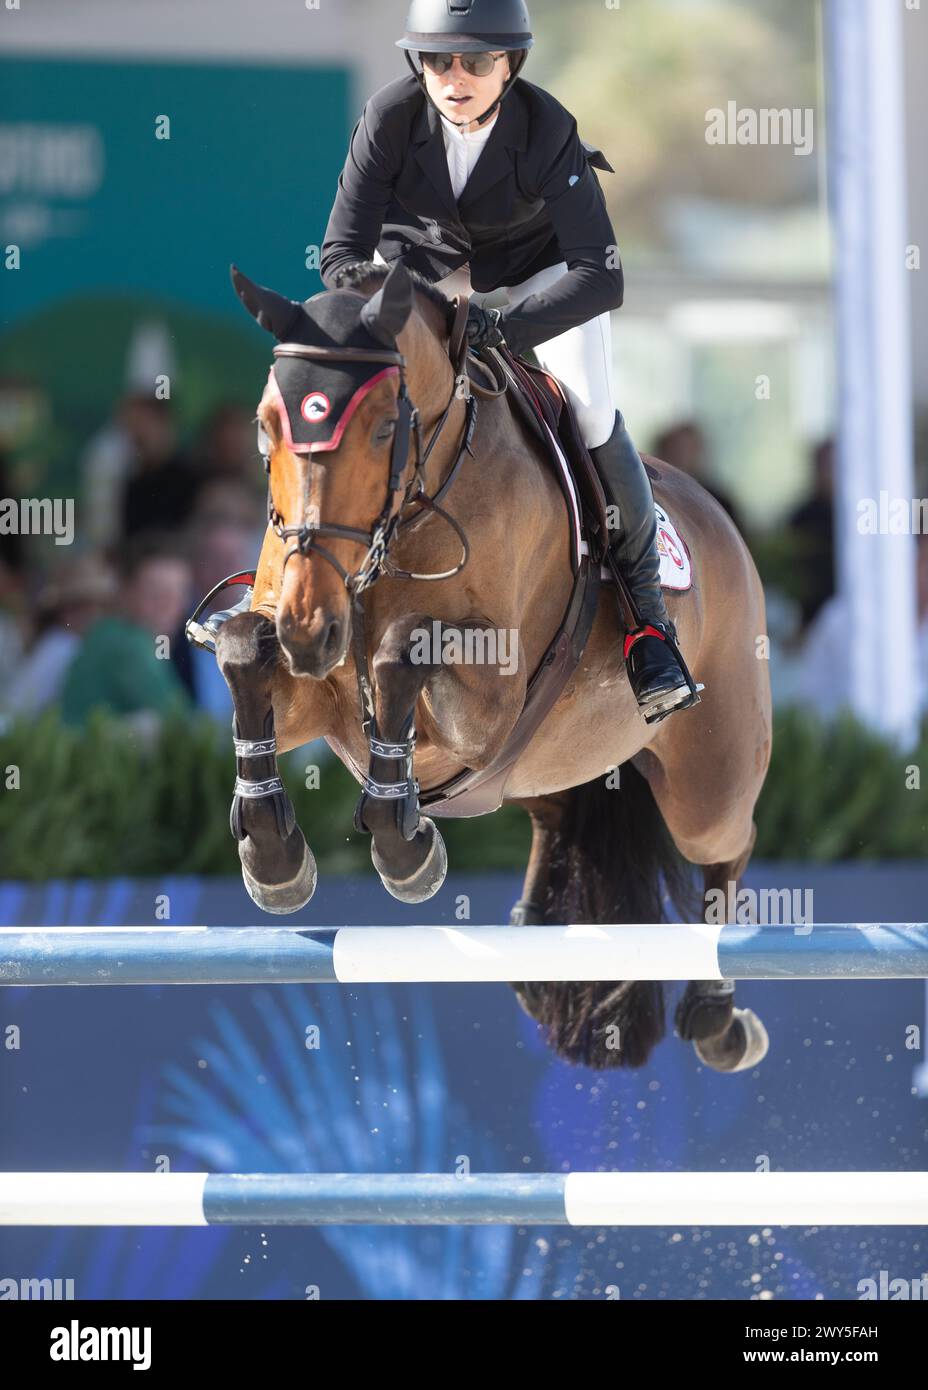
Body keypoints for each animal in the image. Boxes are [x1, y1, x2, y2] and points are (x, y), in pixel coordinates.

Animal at [204, 262, 777, 1073]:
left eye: (384, 429)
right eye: (265, 426)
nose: (311, 628)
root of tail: (716, 512)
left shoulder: (488, 703)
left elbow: (401, 650)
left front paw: (406, 849)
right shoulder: (317, 693)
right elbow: (244, 651)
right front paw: (275, 858)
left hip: (708, 775)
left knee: (727, 845)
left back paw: (717, 1019)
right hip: (547, 759)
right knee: (558, 816)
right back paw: (537, 953)